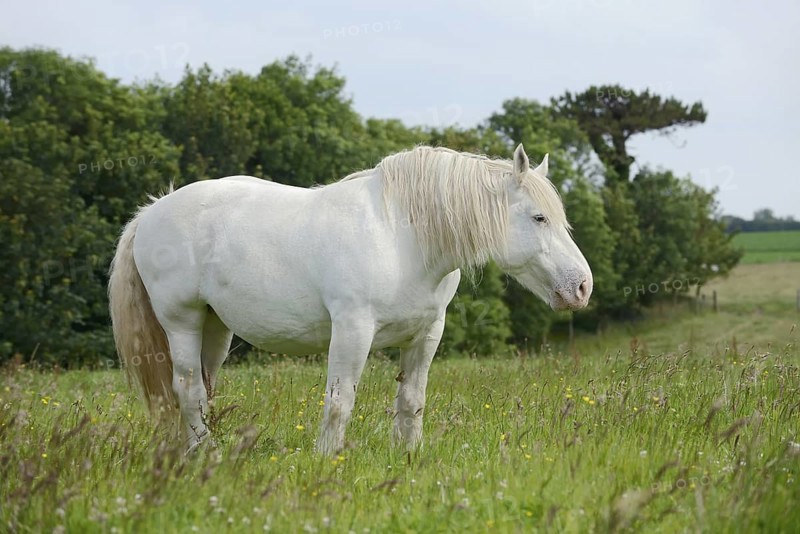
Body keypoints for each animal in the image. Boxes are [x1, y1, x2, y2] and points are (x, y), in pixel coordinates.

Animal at [108, 144, 593, 454]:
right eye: (539, 217)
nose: (582, 287)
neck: (403, 237)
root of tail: (151, 212)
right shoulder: (352, 331)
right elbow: (340, 401)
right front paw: (327, 459)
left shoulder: (426, 335)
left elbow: (411, 400)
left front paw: (408, 456)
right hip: (182, 321)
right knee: (188, 389)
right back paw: (203, 453)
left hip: (216, 327)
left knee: (204, 389)